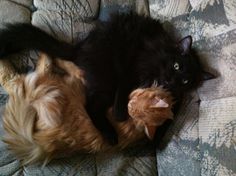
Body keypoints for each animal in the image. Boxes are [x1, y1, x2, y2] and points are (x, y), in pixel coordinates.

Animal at [0, 12, 216, 144]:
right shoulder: (132, 65)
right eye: (176, 65)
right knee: (90, 105)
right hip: (108, 77)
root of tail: (79, 48)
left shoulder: (175, 97)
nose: (171, 80)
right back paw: (111, 134)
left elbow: (170, 117)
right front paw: (121, 114)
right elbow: (125, 88)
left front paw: (156, 139)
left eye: (186, 81)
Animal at [0, 53, 173, 165]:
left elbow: (73, 66)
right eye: (134, 98)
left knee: (15, 79)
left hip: (45, 90)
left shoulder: (85, 79)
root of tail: (40, 144)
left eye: (132, 105)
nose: (128, 102)